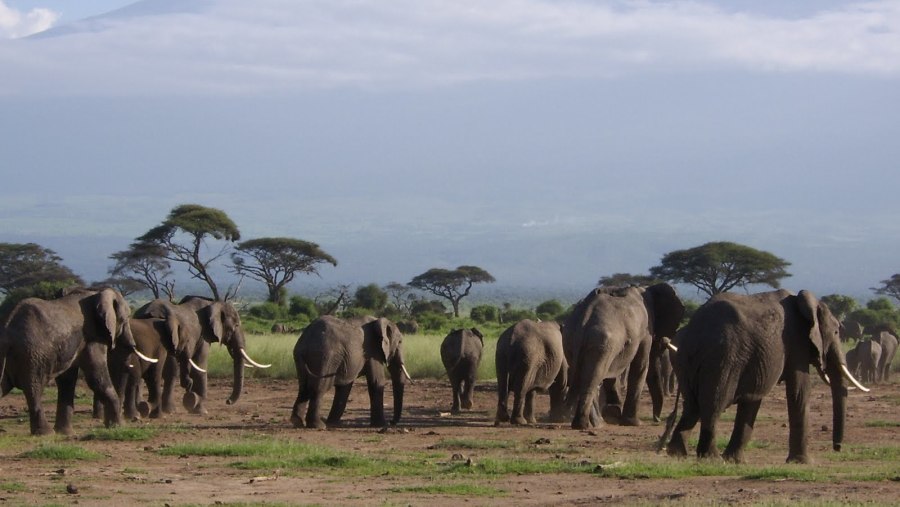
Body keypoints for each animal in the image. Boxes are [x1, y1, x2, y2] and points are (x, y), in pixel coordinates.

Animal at [0, 288, 142, 434]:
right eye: (124, 319)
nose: (132, 344)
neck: (96, 293)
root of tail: (6, 332)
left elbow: (67, 380)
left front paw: (64, 432)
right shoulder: (91, 338)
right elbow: (96, 378)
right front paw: (120, 426)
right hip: (33, 355)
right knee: (34, 389)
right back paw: (46, 433)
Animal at [132, 296, 268, 414]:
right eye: (236, 325)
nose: (228, 401)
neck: (212, 304)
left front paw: (191, 399)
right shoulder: (204, 336)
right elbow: (200, 365)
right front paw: (201, 410)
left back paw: (142, 409)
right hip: (168, 336)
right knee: (171, 371)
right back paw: (168, 410)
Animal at [564, 284, 684, 430]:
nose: (657, 419)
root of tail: (584, 316)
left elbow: (614, 371)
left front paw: (613, 413)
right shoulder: (645, 330)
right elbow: (641, 365)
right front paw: (633, 423)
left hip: (570, 341)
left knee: (588, 375)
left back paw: (593, 424)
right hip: (602, 342)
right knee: (595, 375)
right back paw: (588, 424)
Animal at [664, 290, 868, 464]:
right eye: (836, 332)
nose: (837, 447)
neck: (805, 303)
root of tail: (695, 332)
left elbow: (753, 398)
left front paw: (736, 461)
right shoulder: (796, 341)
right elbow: (799, 390)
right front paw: (802, 462)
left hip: (686, 359)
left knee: (692, 406)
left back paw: (677, 454)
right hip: (723, 358)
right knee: (713, 404)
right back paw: (712, 459)